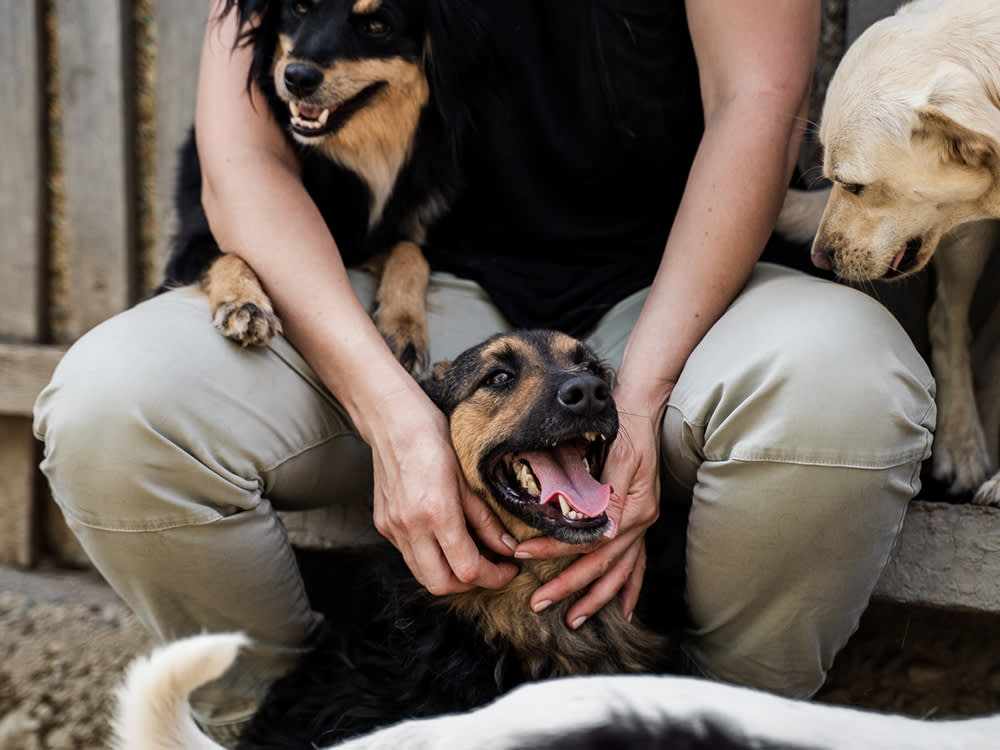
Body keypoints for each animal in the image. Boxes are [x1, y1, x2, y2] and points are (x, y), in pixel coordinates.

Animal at [161, 0, 488, 376]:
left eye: (377, 26)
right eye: (300, 8)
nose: (297, 78)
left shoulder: (367, 245)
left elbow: (410, 251)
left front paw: (403, 326)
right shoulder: (188, 247)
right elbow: (226, 253)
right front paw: (245, 304)